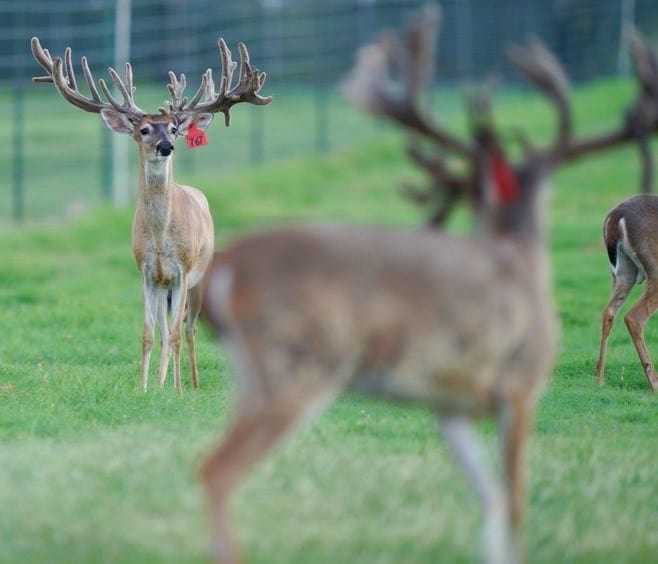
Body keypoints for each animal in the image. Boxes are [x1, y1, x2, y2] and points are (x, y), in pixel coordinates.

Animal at [30, 37, 272, 392]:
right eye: (144, 130)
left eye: (173, 128)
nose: (166, 146)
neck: (160, 237)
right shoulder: (146, 271)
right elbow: (148, 334)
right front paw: (144, 388)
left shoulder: (182, 270)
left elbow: (176, 335)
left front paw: (178, 391)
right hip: (163, 288)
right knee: (165, 330)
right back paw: (160, 383)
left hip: (199, 279)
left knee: (187, 329)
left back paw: (192, 384)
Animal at [198, 10, 658, 564]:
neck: (521, 262)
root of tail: (227, 267)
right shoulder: (519, 384)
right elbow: (516, 500)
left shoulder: (450, 403)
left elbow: (491, 499)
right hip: (296, 363)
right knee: (217, 470)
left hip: (252, 374)